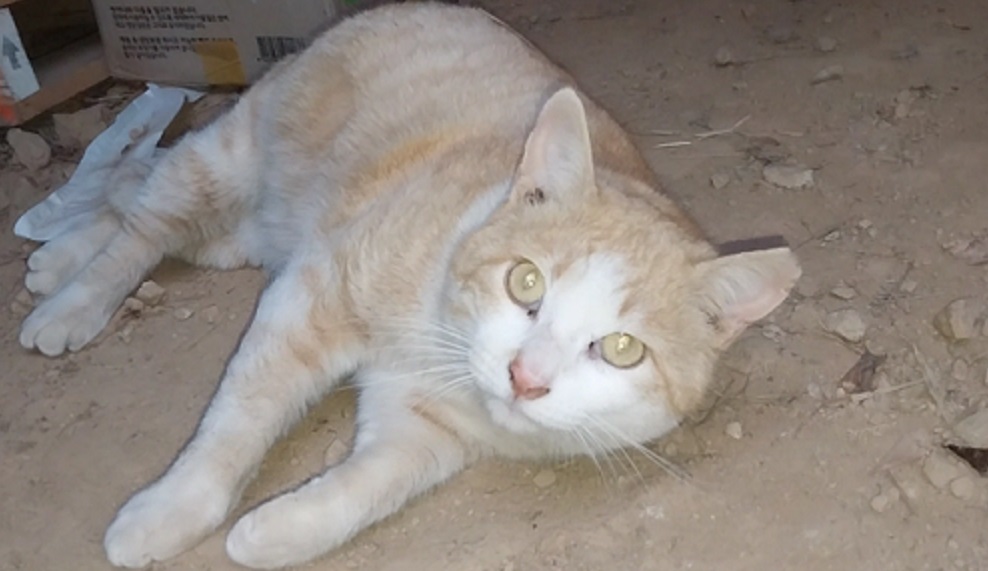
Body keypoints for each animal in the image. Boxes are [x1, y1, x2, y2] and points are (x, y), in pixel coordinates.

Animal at [17, 3, 800, 569]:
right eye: (525, 282)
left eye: (622, 349)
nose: (525, 379)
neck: (441, 334)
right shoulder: (310, 296)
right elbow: (235, 423)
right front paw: (169, 511)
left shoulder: (423, 433)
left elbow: (365, 490)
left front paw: (274, 531)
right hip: (227, 160)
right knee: (144, 221)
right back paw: (69, 296)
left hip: (250, 230)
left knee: (145, 202)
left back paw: (58, 255)